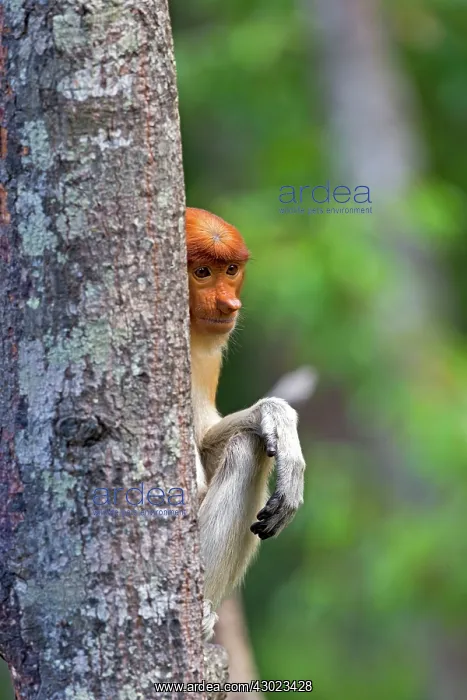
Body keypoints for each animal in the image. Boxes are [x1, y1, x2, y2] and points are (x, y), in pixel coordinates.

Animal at [186, 207, 306, 639]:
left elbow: (205, 441)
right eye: (202, 272)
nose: (229, 304)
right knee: (244, 452)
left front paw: (277, 419)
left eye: (231, 270)